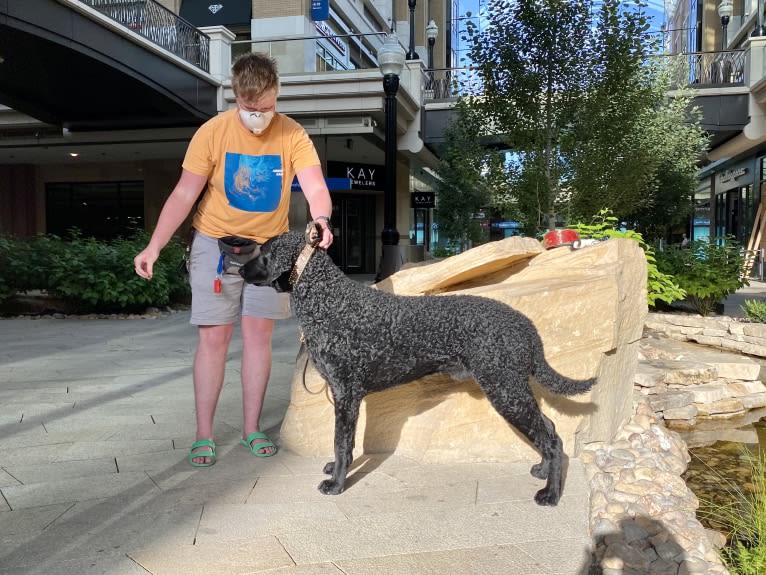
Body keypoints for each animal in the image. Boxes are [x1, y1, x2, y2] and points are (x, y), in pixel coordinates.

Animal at [243, 225, 596, 504]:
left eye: (263, 252)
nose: (239, 268)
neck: (328, 300)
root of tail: (526, 326)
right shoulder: (348, 396)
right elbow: (344, 443)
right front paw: (335, 470)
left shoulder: (346, 394)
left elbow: (340, 442)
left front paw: (336, 483)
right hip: (512, 389)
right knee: (549, 428)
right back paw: (542, 471)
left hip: (506, 389)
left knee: (552, 438)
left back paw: (551, 494)